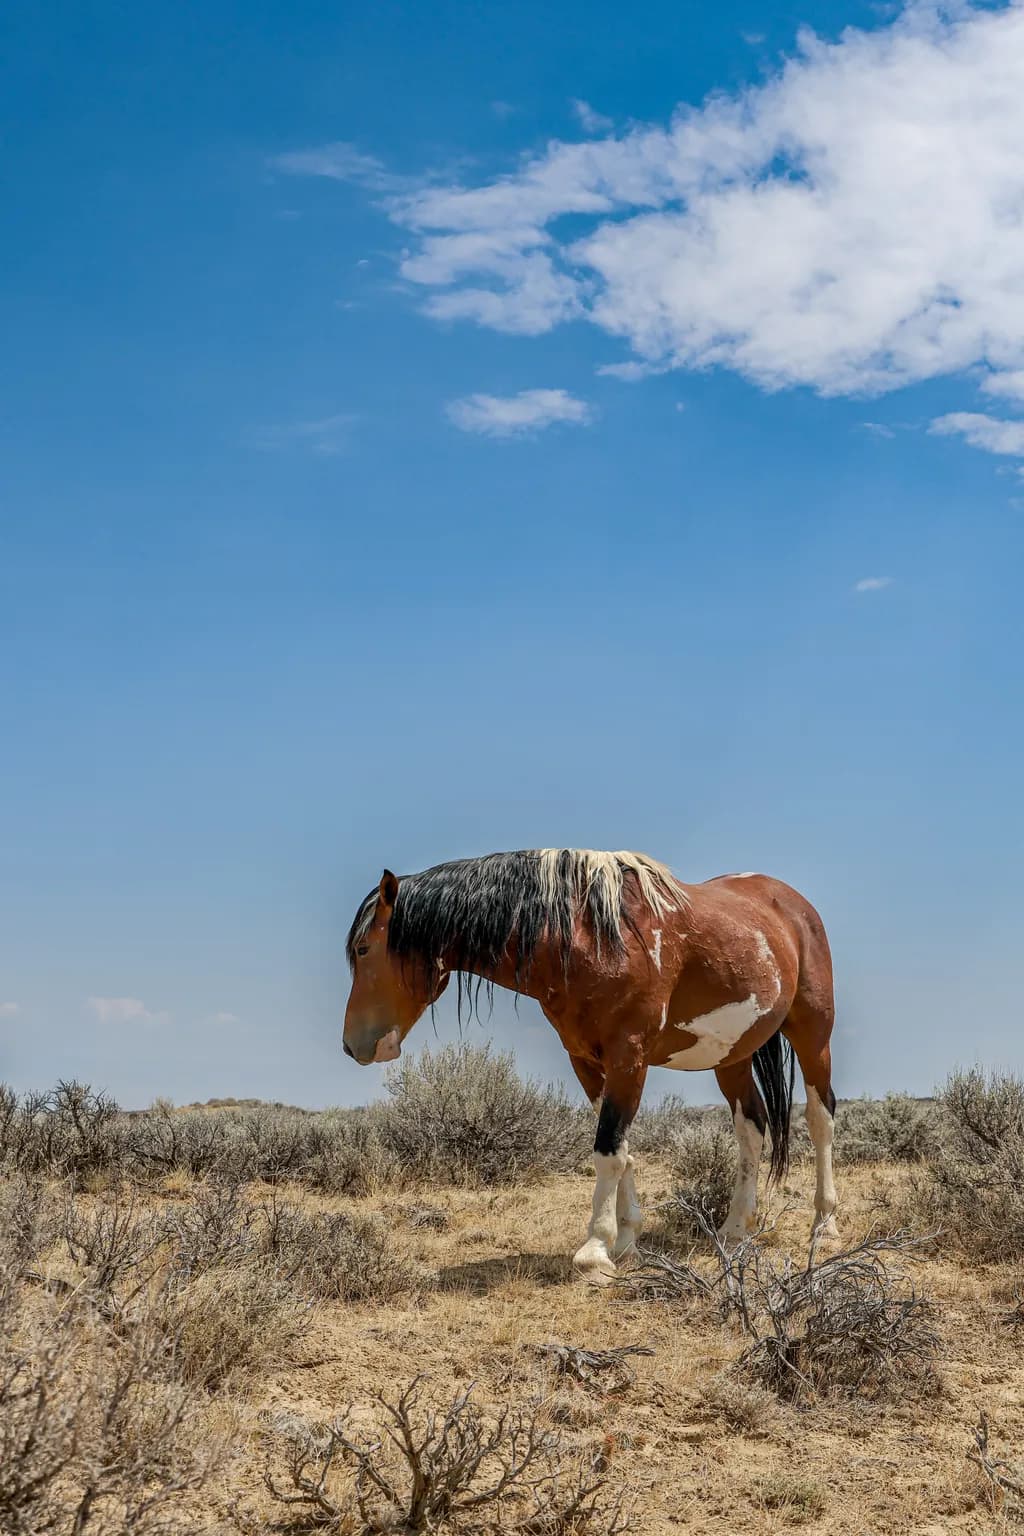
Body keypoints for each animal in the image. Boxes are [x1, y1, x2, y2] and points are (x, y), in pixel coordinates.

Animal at [342, 848, 838, 1282]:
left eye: (364, 949)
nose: (352, 1046)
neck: (591, 937)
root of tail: (791, 904)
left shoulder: (629, 1058)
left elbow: (608, 1150)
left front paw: (595, 1251)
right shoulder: (586, 1061)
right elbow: (621, 1147)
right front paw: (627, 1241)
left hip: (813, 1035)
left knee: (820, 1118)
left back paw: (824, 1226)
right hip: (731, 1055)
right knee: (751, 1127)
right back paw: (735, 1231)